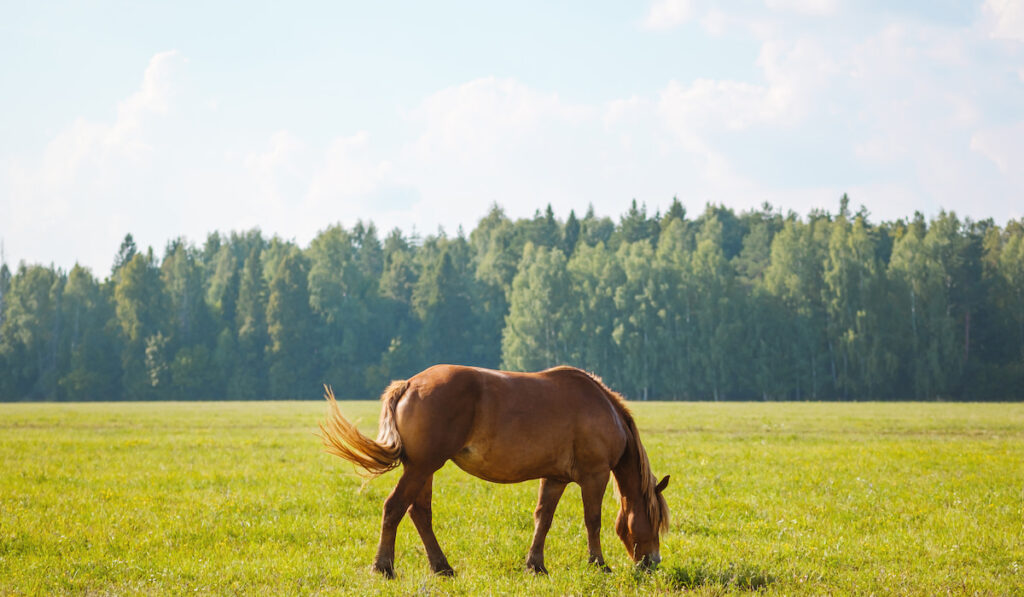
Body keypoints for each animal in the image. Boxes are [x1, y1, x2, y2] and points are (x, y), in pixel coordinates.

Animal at [319, 364, 671, 577]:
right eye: (654, 521)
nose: (652, 563)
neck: (603, 410)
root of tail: (409, 384)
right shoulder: (594, 475)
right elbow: (593, 521)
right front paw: (598, 564)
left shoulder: (555, 477)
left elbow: (543, 519)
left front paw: (535, 565)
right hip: (421, 468)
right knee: (394, 507)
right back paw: (384, 567)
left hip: (423, 469)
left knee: (419, 513)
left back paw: (442, 567)